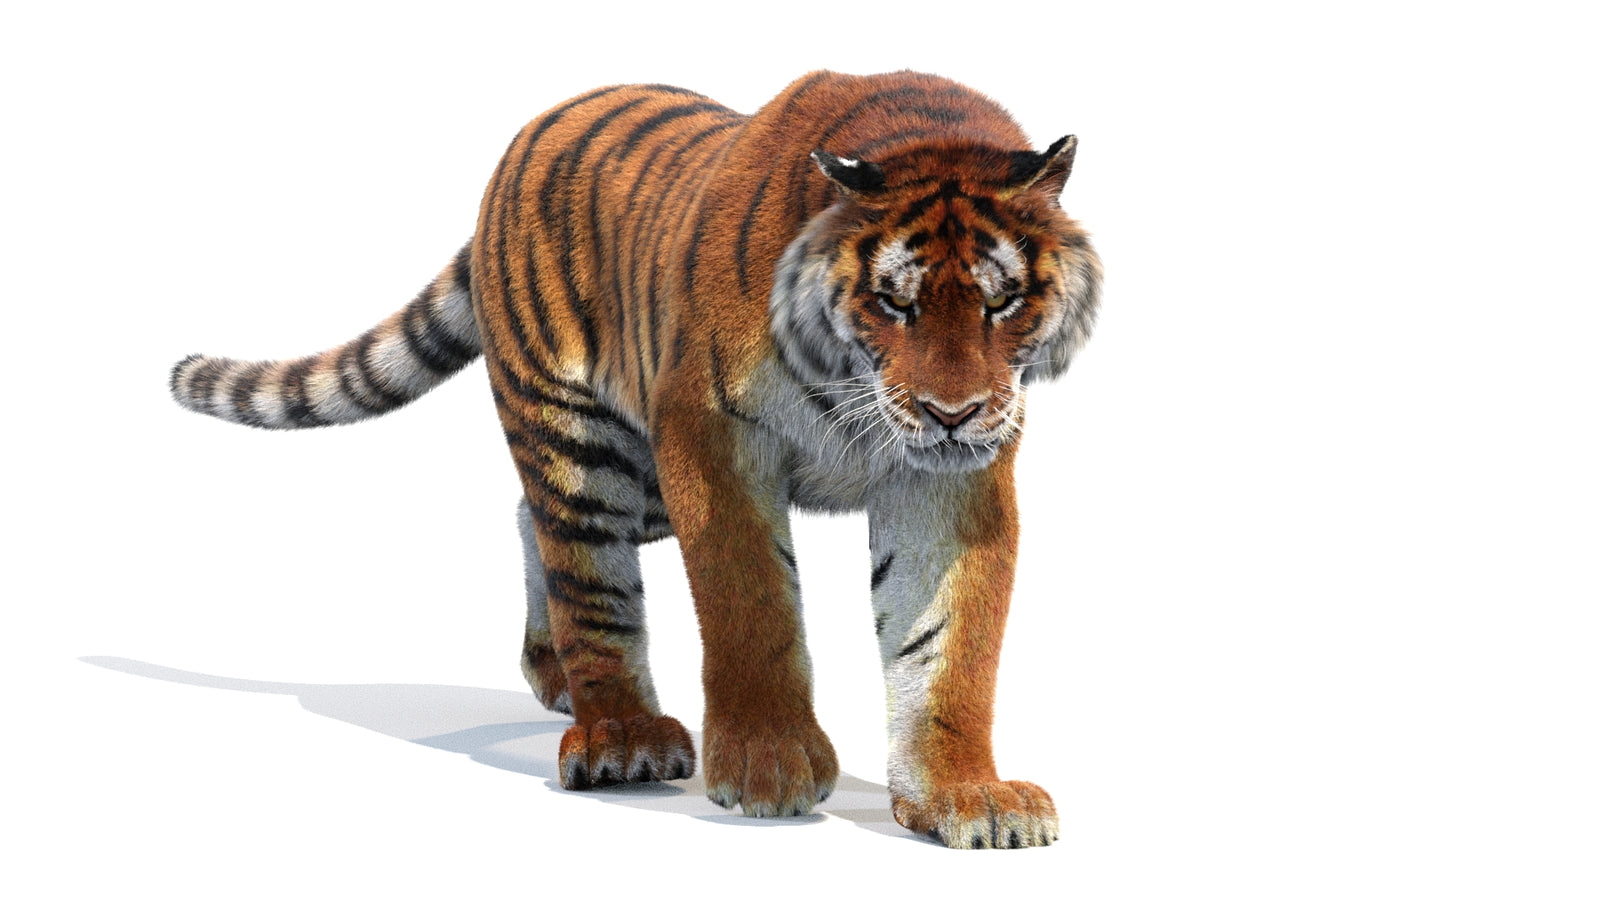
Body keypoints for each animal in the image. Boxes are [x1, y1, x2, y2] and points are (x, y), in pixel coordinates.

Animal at [169, 69, 1101, 849]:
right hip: (584, 441)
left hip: (644, 478)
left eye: (1002, 301)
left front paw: (963, 796)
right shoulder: (710, 435)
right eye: (893, 303)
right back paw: (620, 734)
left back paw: (553, 673)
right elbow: (750, 604)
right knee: (585, 571)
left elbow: (949, 644)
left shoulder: (947, 482)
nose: (953, 413)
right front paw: (767, 766)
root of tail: (538, 126)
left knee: (528, 517)